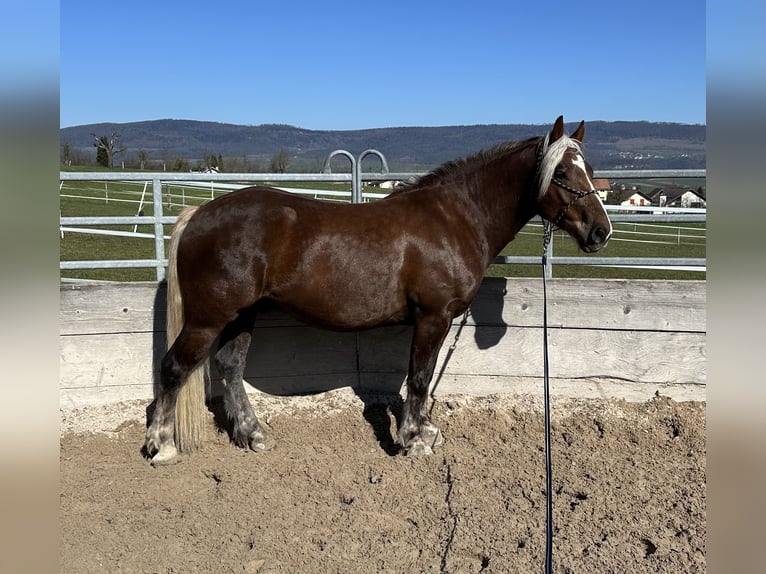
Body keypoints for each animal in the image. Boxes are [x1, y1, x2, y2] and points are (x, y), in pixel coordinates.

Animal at [145, 115, 612, 466]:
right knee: (173, 368)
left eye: (590, 170)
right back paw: (161, 446)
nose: (600, 232)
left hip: (243, 314)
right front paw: (413, 439)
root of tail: (199, 213)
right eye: (562, 172)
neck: (455, 217)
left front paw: (426, 430)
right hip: (209, 318)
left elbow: (421, 378)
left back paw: (253, 433)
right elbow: (420, 377)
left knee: (230, 367)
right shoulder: (433, 317)